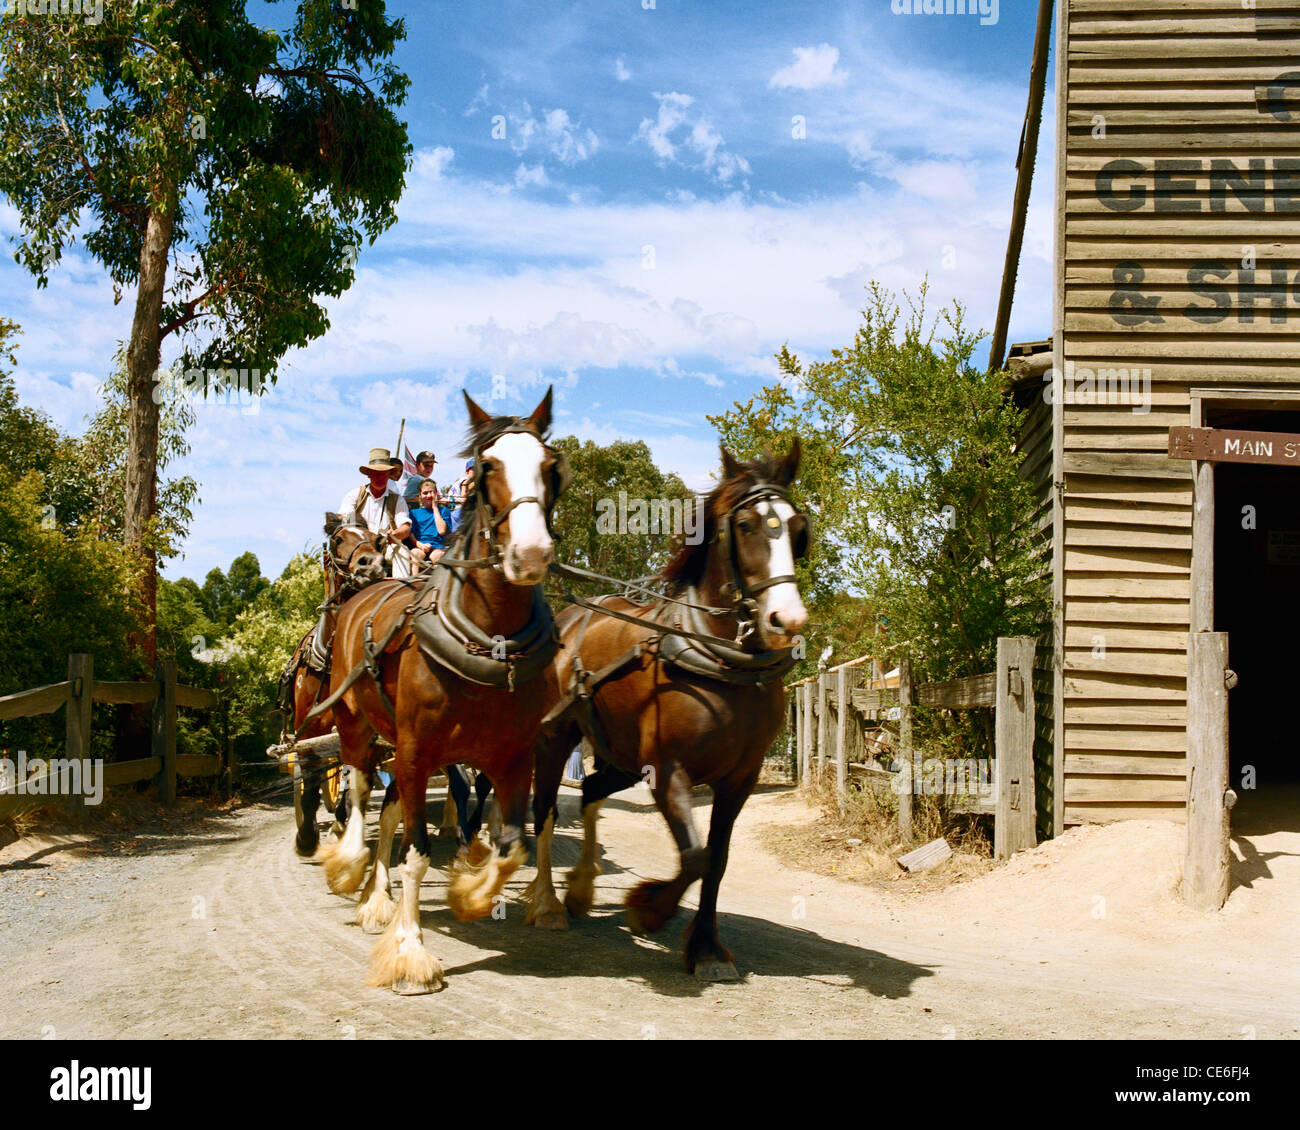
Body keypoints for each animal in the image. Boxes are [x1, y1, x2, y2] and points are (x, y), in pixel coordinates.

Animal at [313, 384, 569, 988]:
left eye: (552, 467)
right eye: (487, 467)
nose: (530, 553)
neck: (488, 640)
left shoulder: (513, 756)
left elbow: (510, 847)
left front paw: (471, 891)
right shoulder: (415, 750)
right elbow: (416, 851)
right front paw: (409, 951)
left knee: (385, 810)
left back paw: (376, 898)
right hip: (356, 725)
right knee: (358, 791)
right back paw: (351, 868)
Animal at [522, 439, 806, 977]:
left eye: (799, 529)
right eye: (745, 526)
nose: (788, 619)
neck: (722, 660)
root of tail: (571, 616)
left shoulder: (741, 778)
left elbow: (716, 859)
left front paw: (708, 947)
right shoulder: (668, 770)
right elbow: (694, 858)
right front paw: (648, 909)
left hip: (620, 756)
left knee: (590, 790)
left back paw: (582, 888)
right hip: (553, 738)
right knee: (544, 810)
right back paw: (547, 902)